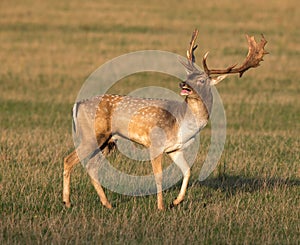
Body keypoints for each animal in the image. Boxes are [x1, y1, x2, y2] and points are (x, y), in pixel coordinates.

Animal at [62, 29, 268, 211]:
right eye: (188, 75)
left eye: (201, 80)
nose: (183, 84)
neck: (182, 124)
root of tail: (77, 105)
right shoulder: (155, 143)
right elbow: (159, 176)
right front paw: (161, 207)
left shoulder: (174, 149)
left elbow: (187, 171)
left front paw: (175, 202)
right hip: (92, 136)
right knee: (68, 160)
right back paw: (67, 202)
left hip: (108, 142)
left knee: (91, 166)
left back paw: (107, 204)